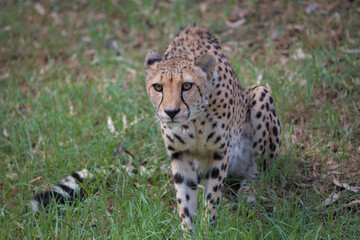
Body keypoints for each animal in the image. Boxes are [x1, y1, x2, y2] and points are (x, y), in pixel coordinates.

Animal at [145, 24, 282, 231]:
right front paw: (189, 230)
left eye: (187, 86)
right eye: (158, 87)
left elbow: (213, 194)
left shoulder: (220, 151)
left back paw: (249, 191)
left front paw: (209, 227)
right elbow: (184, 198)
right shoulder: (180, 154)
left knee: (260, 170)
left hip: (261, 94)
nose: (171, 112)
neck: (193, 122)